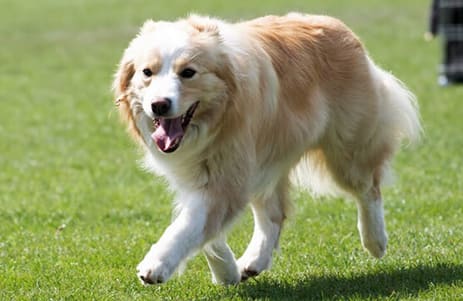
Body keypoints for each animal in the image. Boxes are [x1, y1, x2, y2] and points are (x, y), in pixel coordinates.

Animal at [112, 13, 420, 284]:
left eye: (188, 73)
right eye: (147, 73)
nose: (159, 105)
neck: (216, 118)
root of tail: (337, 26)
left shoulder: (227, 176)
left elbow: (186, 225)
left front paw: (157, 264)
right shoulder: (204, 174)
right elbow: (203, 228)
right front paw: (226, 272)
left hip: (347, 150)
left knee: (369, 188)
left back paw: (375, 241)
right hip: (266, 164)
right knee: (273, 215)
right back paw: (253, 261)